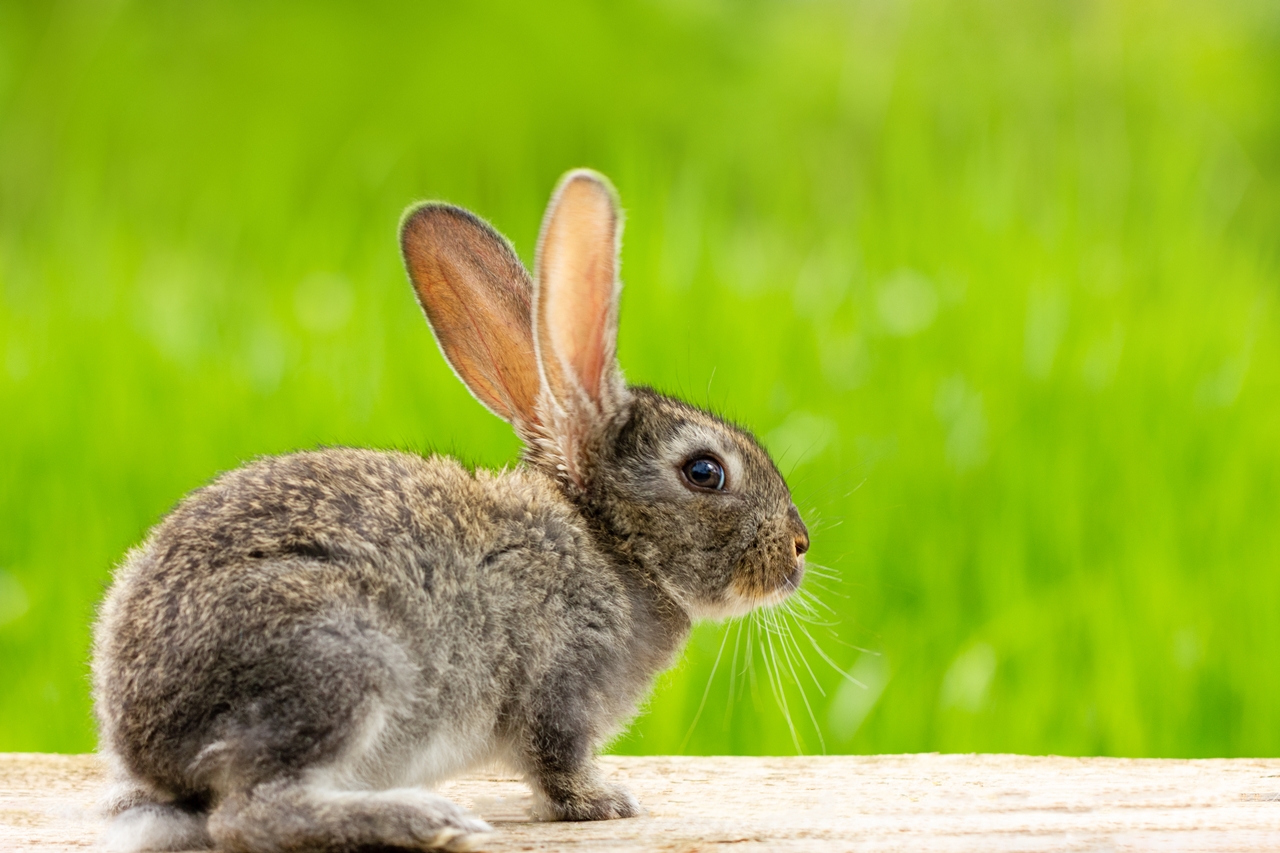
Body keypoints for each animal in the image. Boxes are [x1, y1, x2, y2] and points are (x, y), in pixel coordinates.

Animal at [92, 169, 808, 850]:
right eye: (705, 472)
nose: (799, 548)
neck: (610, 542)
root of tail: (146, 737)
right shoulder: (559, 687)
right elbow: (557, 762)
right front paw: (603, 803)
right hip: (340, 663)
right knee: (252, 815)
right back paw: (424, 820)